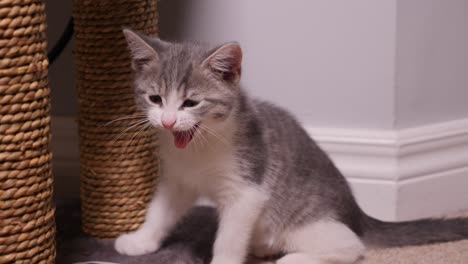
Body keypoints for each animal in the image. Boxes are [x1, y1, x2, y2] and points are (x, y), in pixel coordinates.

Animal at [114, 28, 468, 264]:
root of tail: (356, 213)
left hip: (304, 221)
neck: (199, 148)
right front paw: (141, 240)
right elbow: (160, 211)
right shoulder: (178, 179)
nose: (169, 121)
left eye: (191, 102)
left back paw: (296, 259)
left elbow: (229, 237)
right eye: (155, 99)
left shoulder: (247, 190)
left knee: (351, 245)